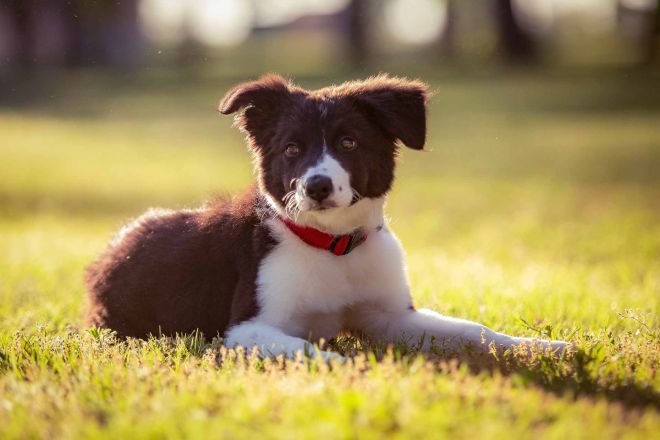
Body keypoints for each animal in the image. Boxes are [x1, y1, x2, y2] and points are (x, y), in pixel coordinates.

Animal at [84, 74, 568, 360]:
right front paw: (350, 368)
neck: (335, 248)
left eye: (349, 142)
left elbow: (472, 329)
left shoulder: (390, 317)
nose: (316, 186)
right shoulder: (246, 327)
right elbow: (308, 350)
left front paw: (542, 346)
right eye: (292, 149)